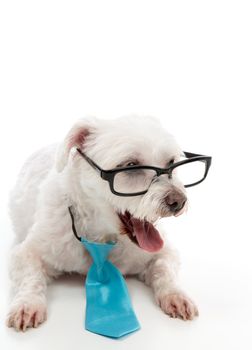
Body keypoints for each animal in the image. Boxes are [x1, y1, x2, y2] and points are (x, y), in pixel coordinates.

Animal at [6, 117, 199, 330]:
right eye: (131, 165)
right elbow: (30, 277)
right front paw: (27, 303)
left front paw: (176, 295)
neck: (101, 234)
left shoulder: (164, 252)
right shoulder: (27, 252)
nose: (179, 201)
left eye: (171, 162)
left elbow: (165, 269)